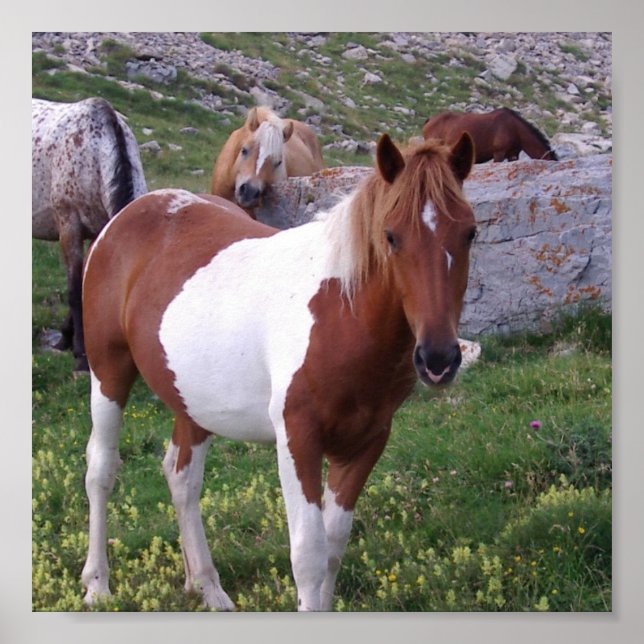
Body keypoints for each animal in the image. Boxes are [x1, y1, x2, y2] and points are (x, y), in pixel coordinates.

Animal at [80, 131, 477, 611]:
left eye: (470, 232)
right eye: (391, 235)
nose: (438, 358)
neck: (340, 312)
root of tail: (130, 213)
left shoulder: (366, 442)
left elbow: (334, 546)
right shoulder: (297, 438)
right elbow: (308, 554)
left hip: (192, 401)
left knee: (182, 479)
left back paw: (206, 586)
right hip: (109, 373)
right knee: (101, 470)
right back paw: (97, 584)